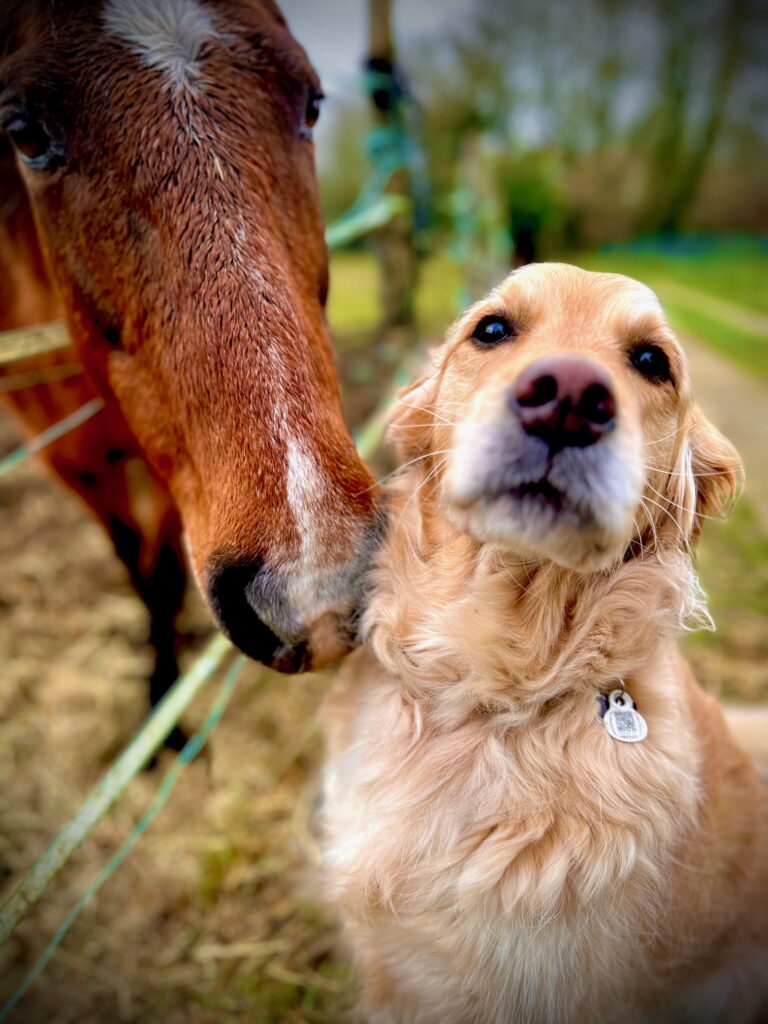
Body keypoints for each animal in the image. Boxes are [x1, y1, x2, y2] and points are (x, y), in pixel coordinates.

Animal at [0, 0, 382, 737]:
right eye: (24, 133)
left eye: (313, 103)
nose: (320, 580)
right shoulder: (77, 461)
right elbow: (139, 565)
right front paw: (162, 708)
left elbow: (166, 569)